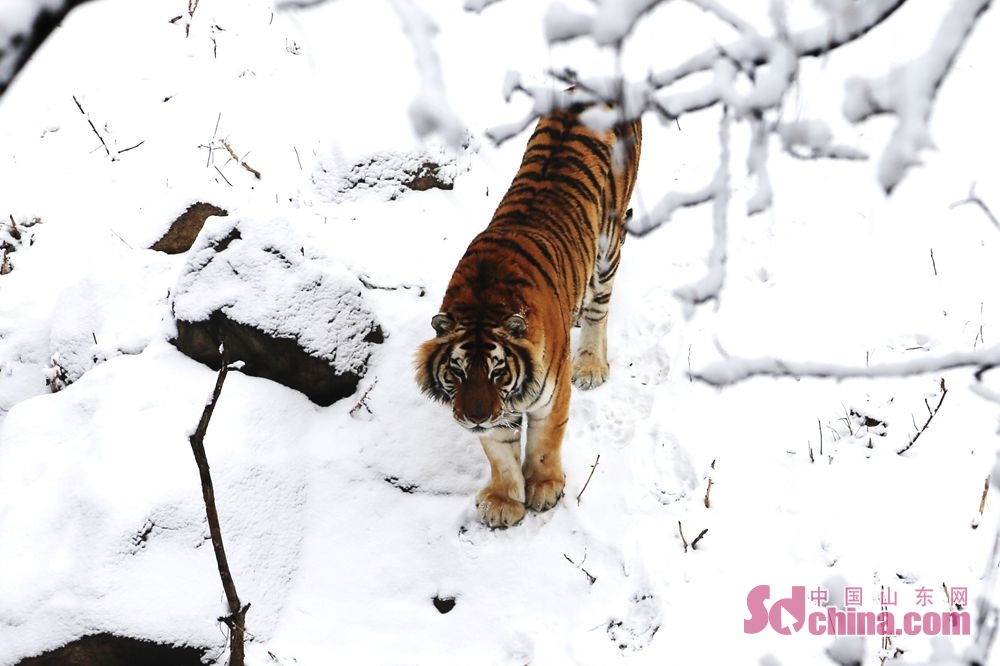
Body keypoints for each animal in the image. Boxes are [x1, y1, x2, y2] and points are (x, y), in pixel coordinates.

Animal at [414, 104, 640, 528]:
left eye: (498, 371)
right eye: (457, 371)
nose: (474, 417)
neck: (483, 304)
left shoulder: (550, 397)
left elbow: (544, 442)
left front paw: (546, 489)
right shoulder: (494, 414)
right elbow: (500, 453)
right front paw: (504, 502)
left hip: (608, 248)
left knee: (599, 309)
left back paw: (590, 365)